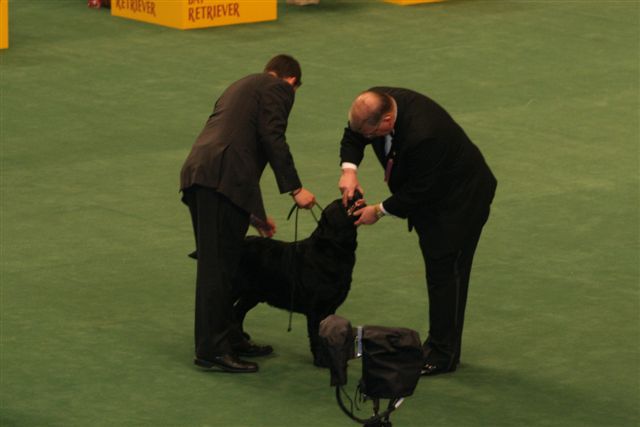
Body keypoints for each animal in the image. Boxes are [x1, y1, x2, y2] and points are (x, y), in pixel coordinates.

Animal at [232, 195, 364, 367]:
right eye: (341, 202)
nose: (354, 193)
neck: (332, 249)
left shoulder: (330, 307)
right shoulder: (317, 309)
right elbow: (317, 336)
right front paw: (322, 361)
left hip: (252, 295)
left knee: (238, 312)